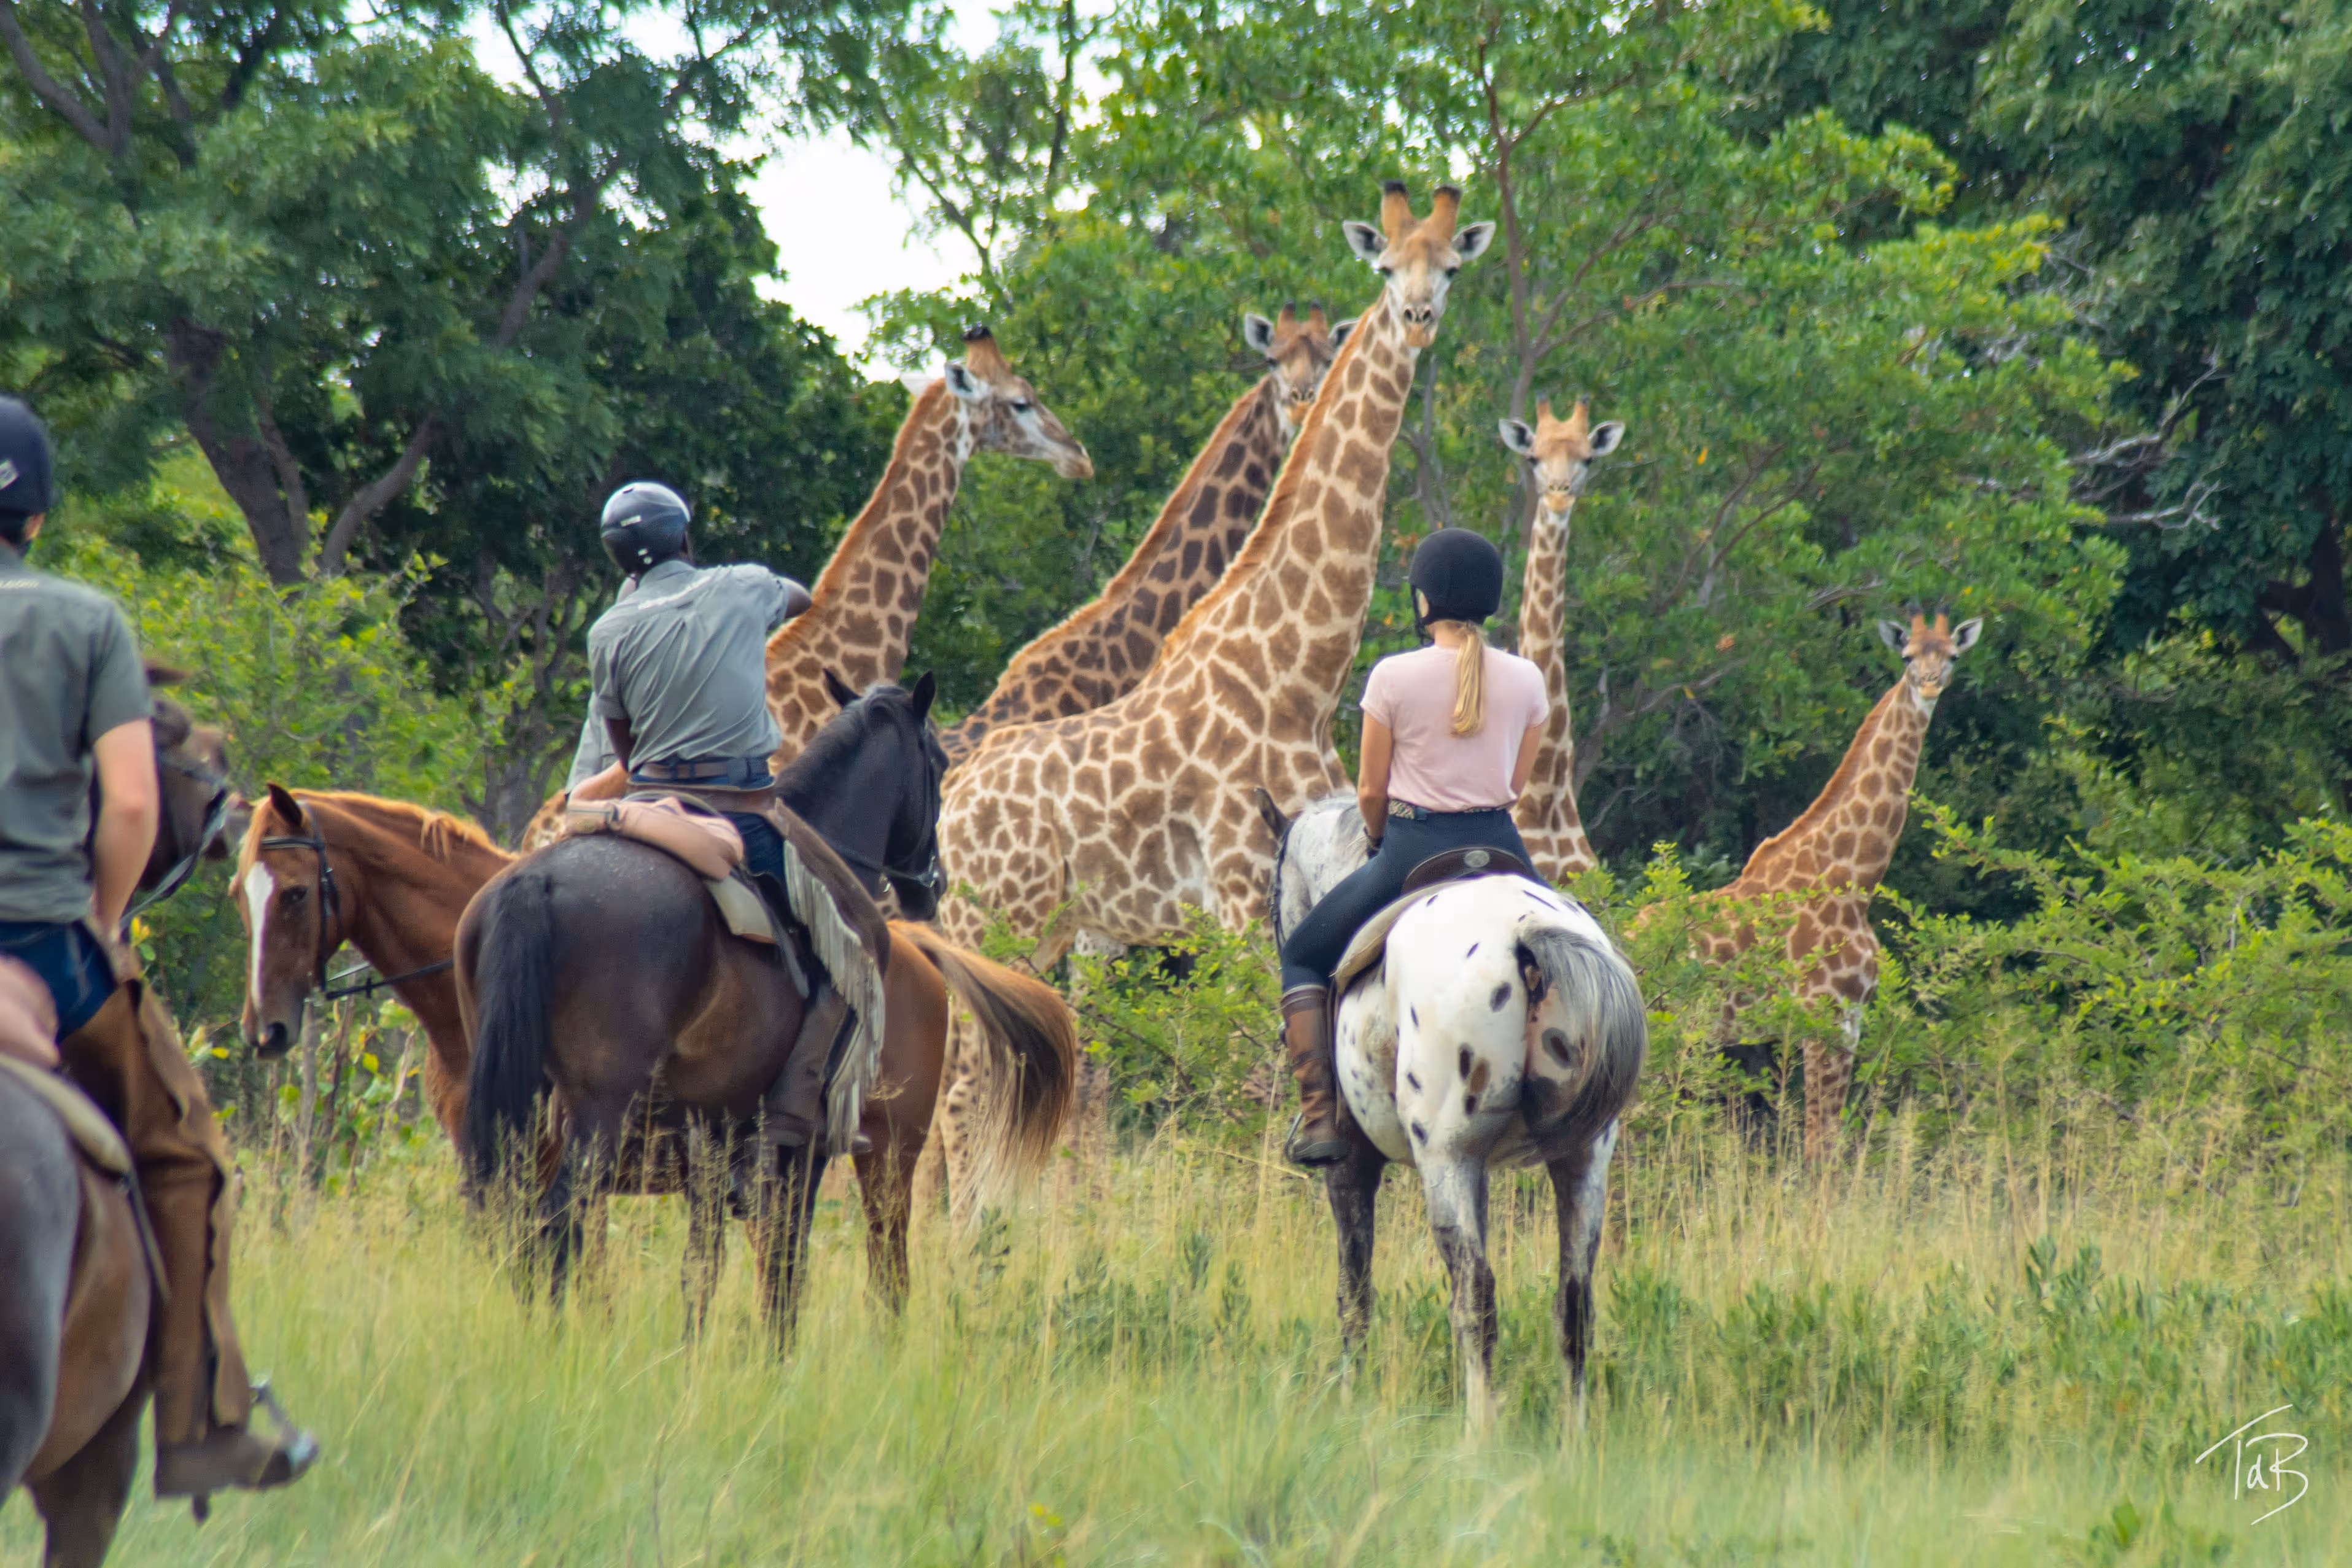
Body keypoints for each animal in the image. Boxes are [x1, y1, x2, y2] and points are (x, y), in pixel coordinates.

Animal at [456, 678, 1074, 1338]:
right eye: (938, 761)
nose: (931, 883)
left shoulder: (715, 1140)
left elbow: (706, 1269)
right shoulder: (800, 1151)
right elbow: (785, 1265)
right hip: (651, 1120)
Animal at [1261, 790, 1647, 1435]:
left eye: (1271, 895)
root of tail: (1524, 933)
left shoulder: (1351, 1166)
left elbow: (1353, 1292)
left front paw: (1347, 1400)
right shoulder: (1486, 1171)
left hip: (1445, 1157)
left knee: (1474, 1295)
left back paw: (1477, 1433)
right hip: (1582, 1161)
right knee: (1574, 1301)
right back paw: (1573, 1438)